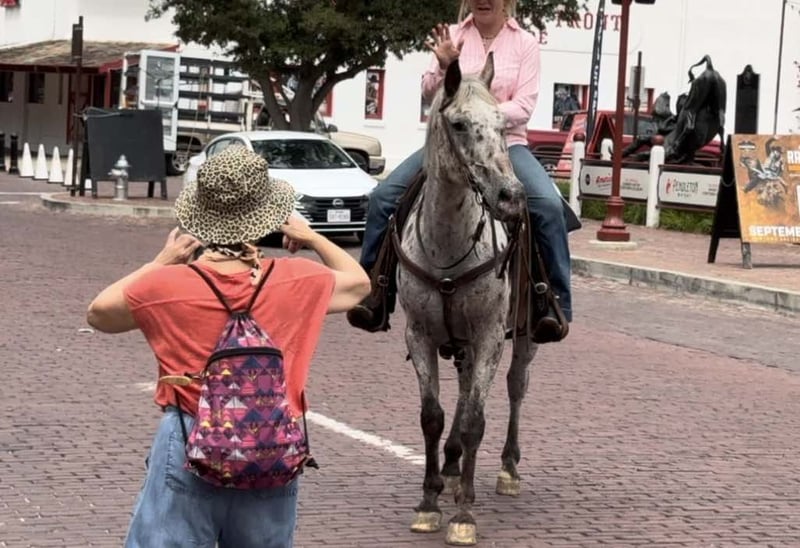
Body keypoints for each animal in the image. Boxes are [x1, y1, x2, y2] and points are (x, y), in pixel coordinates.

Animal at [392, 53, 537, 546]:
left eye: (502, 123)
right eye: (457, 124)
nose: (511, 196)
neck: (447, 247)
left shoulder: (491, 334)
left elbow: (476, 418)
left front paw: (464, 514)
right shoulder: (418, 334)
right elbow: (432, 416)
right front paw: (429, 501)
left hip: (523, 337)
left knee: (515, 386)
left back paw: (507, 468)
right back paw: (452, 466)